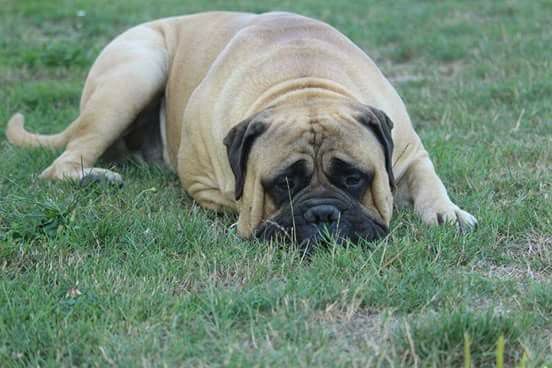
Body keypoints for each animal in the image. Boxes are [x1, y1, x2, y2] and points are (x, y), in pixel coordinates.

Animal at [4, 11, 476, 247]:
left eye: (354, 179)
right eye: (283, 184)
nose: (324, 213)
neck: (304, 81)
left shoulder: (409, 153)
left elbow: (429, 180)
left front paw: (445, 211)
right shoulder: (203, 182)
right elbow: (237, 202)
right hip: (135, 72)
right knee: (64, 161)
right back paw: (96, 177)